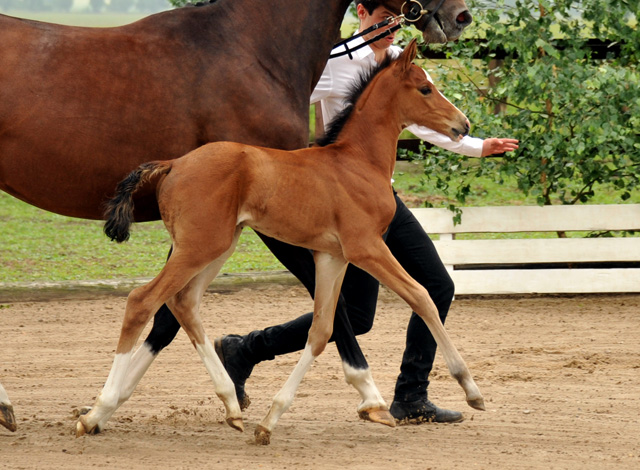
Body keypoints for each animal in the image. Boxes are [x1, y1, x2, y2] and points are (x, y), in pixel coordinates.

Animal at [76, 40, 480, 444]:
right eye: (425, 88)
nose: (463, 125)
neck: (357, 163)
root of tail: (173, 163)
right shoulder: (366, 247)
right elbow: (422, 296)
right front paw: (471, 388)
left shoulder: (332, 256)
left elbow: (321, 331)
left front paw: (270, 420)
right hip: (199, 247)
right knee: (142, 301)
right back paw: (98, 410)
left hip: (217, 247)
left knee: (183, 302)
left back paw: (229, 404)